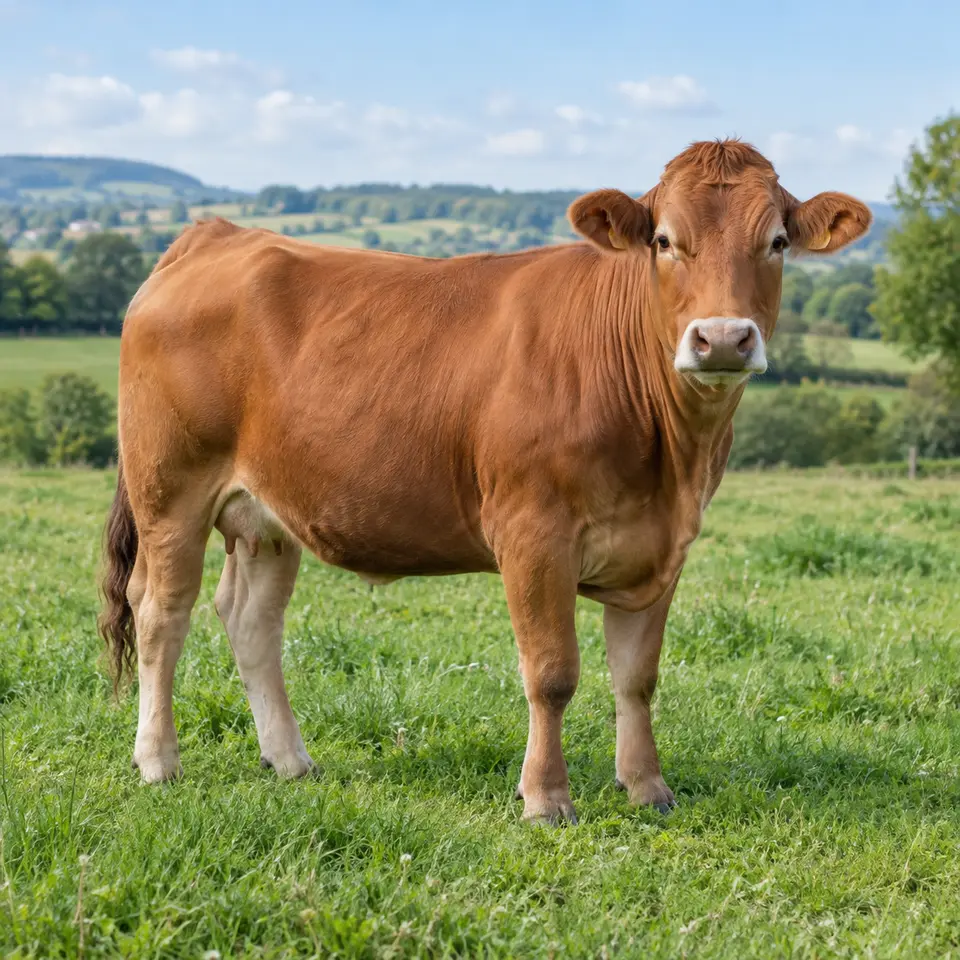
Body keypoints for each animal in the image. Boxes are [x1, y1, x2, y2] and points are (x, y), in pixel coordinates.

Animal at [99, 139, 871, 824]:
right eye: (662, 240)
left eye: (777, 242)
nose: (722, 339)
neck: (668, 458)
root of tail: (215, 234)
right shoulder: (533, 535)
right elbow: (552, 674)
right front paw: (546, 799)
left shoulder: (662, 546)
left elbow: (638, 678)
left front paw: (648, 788)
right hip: (171, 490)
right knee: (161, 611)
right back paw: (158, 760)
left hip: (266, 513)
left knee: (251, 619)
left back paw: (290, 759)